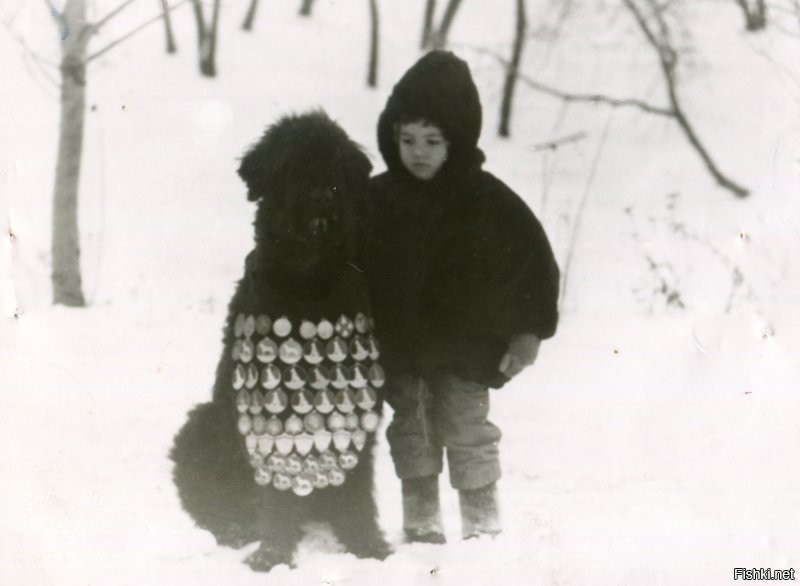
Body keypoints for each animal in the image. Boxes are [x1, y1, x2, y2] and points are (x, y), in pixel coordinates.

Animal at [171, 110, 390, 572]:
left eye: (338, 163)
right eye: (291, 164)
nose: (322, 197)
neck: (308, 282)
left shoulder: (358, 404)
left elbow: (358, 486)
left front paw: (368, 546)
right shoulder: (267, 412)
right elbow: (277, 488)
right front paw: (272, 554)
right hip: (203, 424)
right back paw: (235, 530)